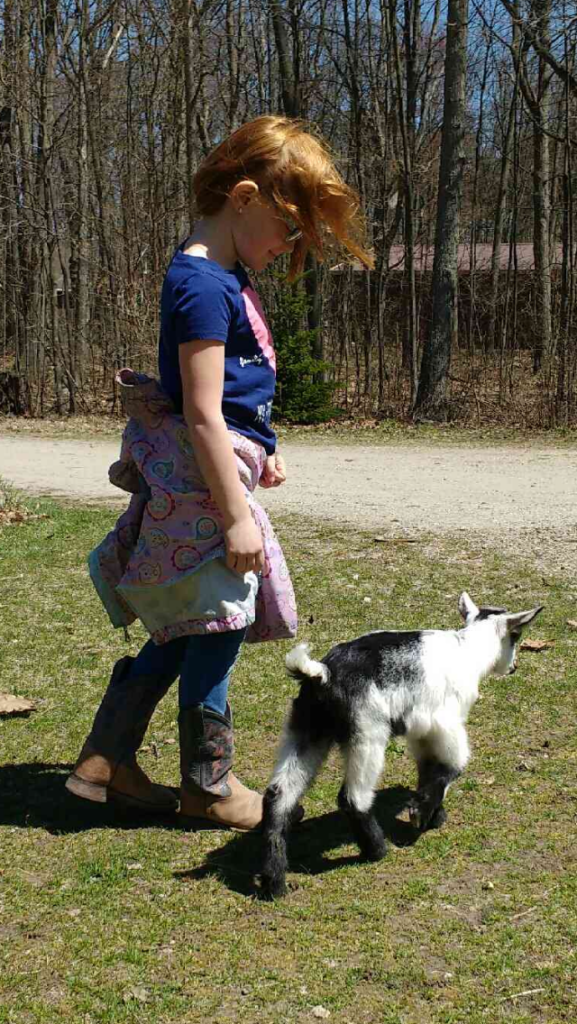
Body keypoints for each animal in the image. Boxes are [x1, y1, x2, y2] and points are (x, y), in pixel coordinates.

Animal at [260, 593, 541, 897]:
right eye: (516, 635)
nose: (513, 667)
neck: (466, 650)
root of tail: (323, 674)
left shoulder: (422, 731)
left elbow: (427, 768)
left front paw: (432, 814)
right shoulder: (446, 724)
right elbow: (452, 767)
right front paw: (421, 815)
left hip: (305, 730)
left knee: (278, 795)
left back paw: (274, 883)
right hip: (367, 735)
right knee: (353, 798)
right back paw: (376, 850)